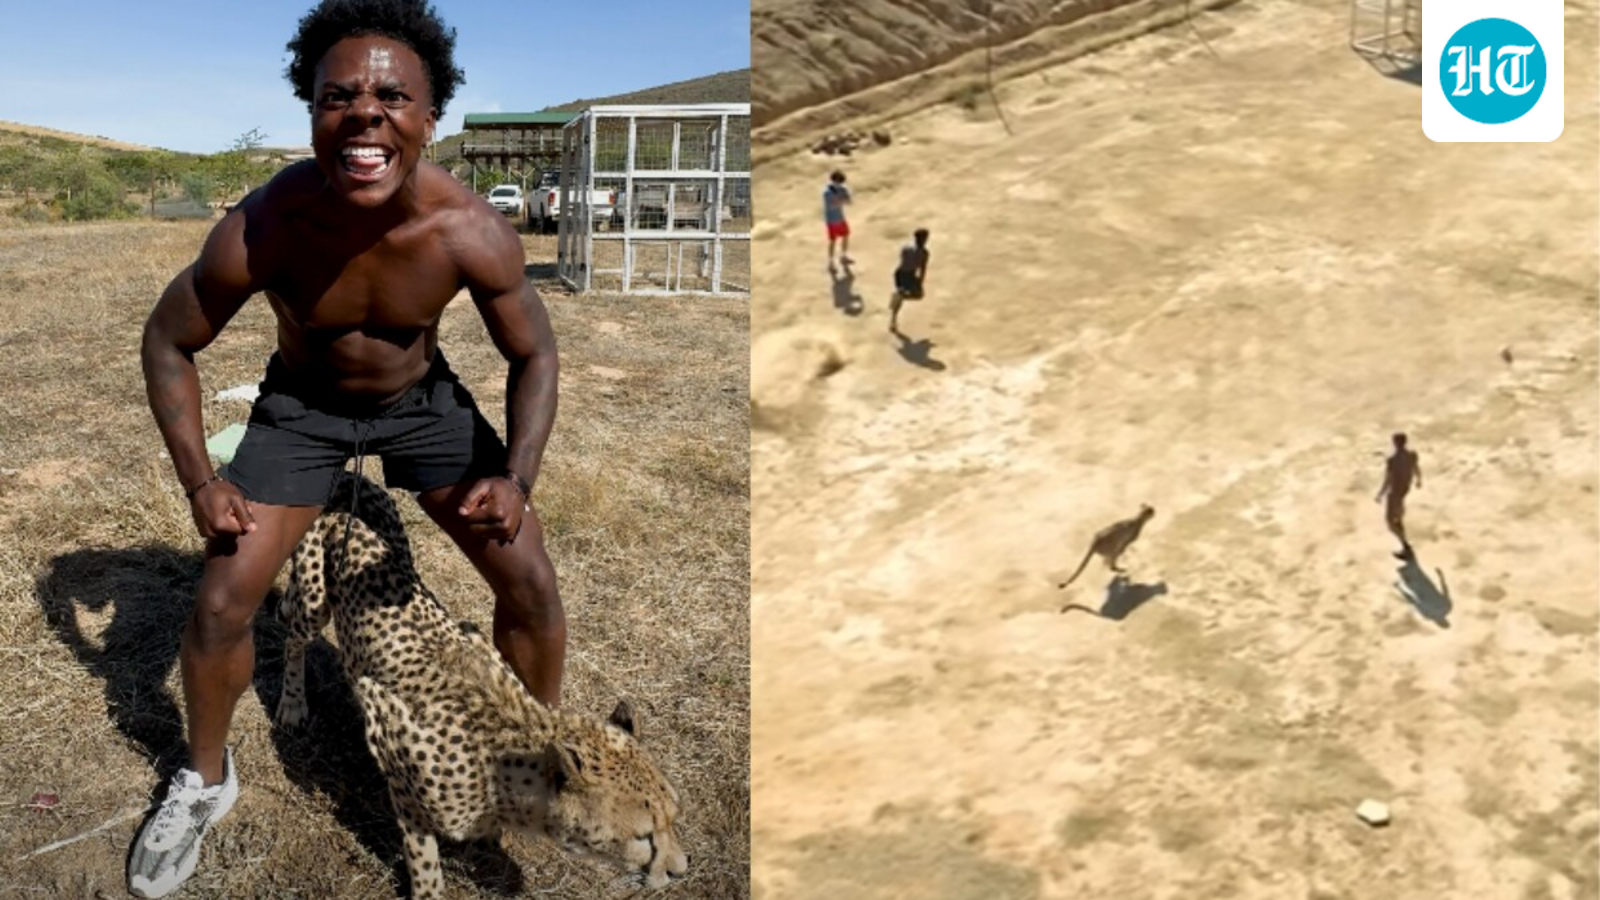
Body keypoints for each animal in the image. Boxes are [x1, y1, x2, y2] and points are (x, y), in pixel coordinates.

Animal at [273, 472, 688, 898]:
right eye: (643, 837)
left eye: (674, 816)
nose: (680, 871)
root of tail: (351, 476)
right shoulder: (392, 744)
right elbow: (422, 852)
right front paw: (428, 889)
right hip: (314, 599)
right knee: (293, 641)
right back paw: (293, 704)